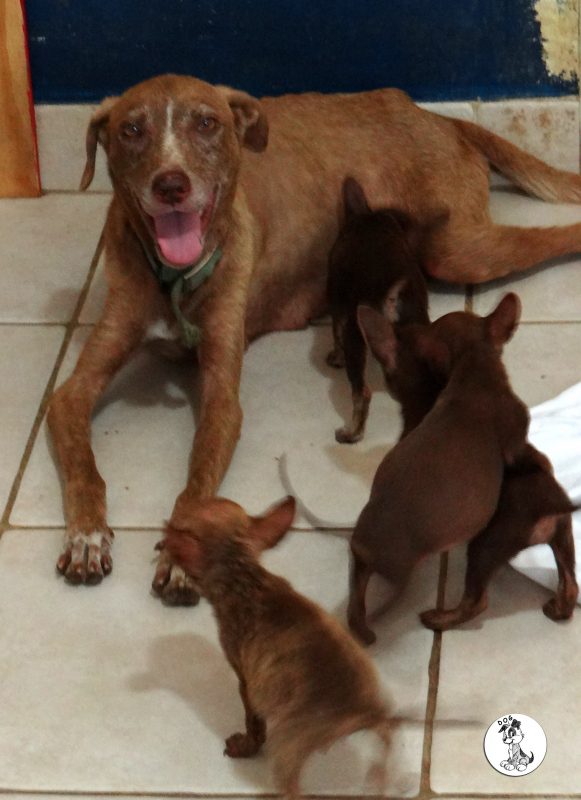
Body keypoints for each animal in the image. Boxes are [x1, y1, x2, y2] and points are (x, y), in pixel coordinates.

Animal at [159, 496, 391, 800]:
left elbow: (253, 721)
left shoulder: (246, 681)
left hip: (289, 748)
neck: (244, 577)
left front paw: (246, 745)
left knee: (291, 787)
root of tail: (363, 710)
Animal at [326, 176, 432, 443]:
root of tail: (394, 293)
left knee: (362, 393)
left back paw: (350, 434)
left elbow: (335, 335)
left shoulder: (337, 308)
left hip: (356, 335)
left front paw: (335, 357)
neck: (368, 221)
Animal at [352, 297, 578, 640]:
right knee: (570, 585)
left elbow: (531, 454)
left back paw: (436, 618)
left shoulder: (515, 441)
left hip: (484, 547)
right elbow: (536, 455)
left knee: (476, 602)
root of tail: (550, 508)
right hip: (562, 537)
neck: (475, 367)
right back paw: (557, 608)